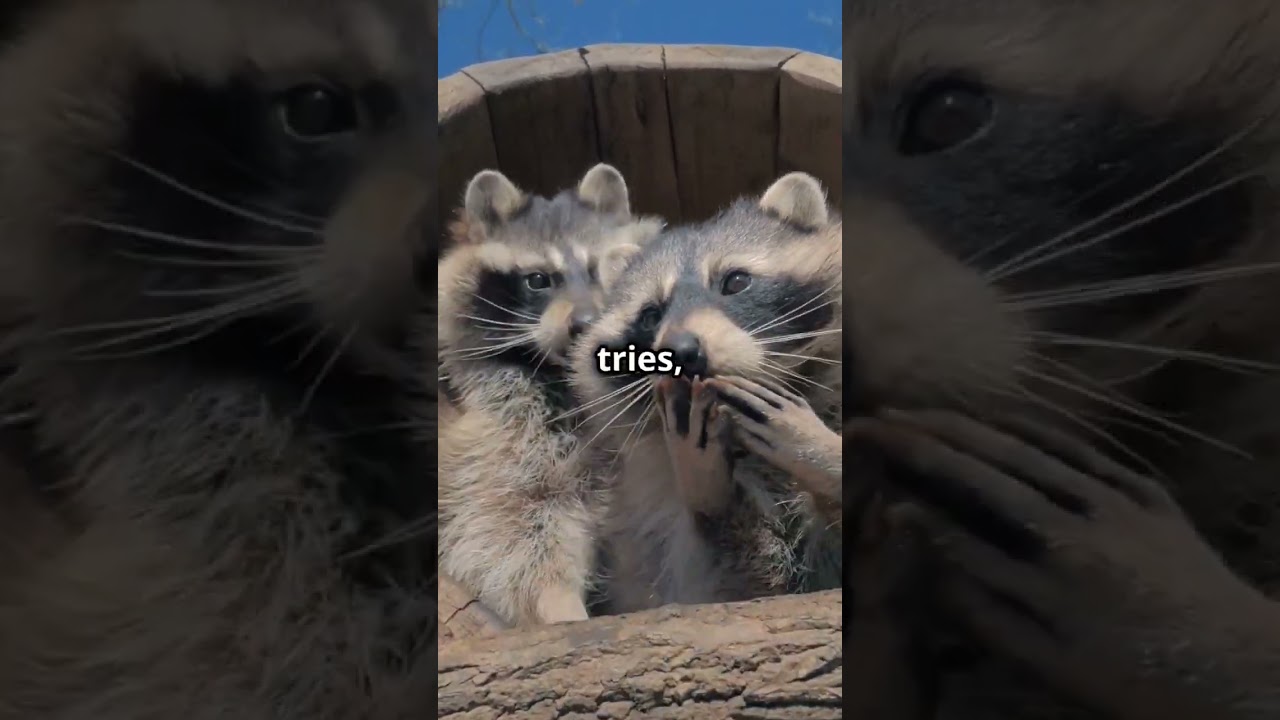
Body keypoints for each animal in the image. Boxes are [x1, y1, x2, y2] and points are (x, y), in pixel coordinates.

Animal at [436, 164, 663, 626]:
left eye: (598, 269)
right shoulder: (498, 430)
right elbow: (505, 531)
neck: (566, 376)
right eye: (538, 279)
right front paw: (558, 603)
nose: (586, 323)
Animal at [570, 172, 843, 613]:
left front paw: (818, 449)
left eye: (735, 281)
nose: (680, 351)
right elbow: (736, 585)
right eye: (651, 315)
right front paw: (709, 492)